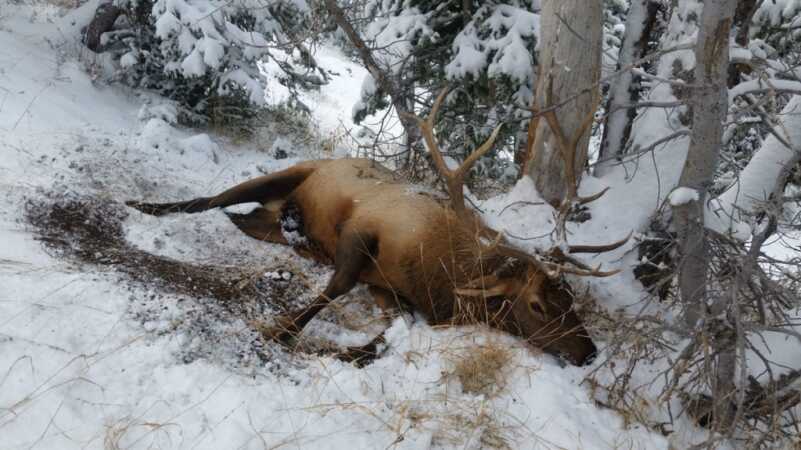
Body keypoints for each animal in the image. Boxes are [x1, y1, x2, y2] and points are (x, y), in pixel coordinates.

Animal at [126, 90, 628, 367]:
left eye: (569, 300)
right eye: (538, 305)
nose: (589, 353)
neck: (436, 278)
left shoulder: (389, 290)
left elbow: (392, 332)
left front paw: (352, 352)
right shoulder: (363, 231)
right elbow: (335, 287)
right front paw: (281, 330)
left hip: (267, 221)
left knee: (243, 217)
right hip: (287, 174)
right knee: (208, 200)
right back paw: (142, 205)